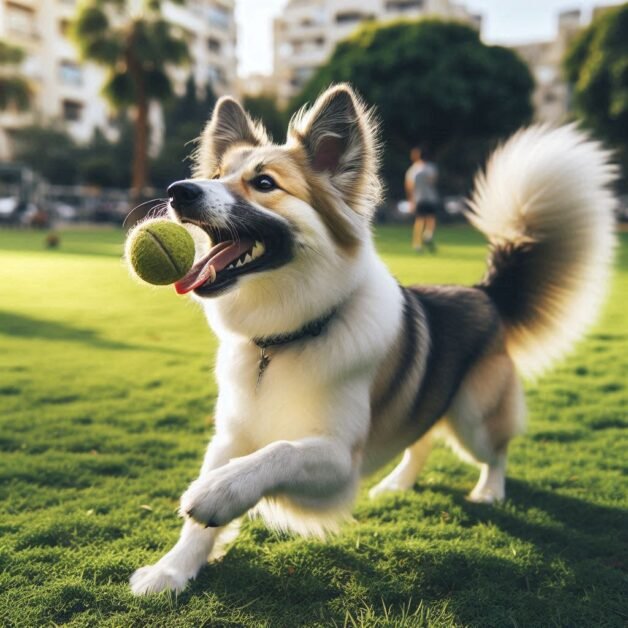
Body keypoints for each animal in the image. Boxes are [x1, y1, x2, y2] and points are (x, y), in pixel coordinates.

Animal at [127, 86, 612, 596]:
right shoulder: (231, 436)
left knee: (494, 450)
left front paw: (216, 494)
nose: (180, 191)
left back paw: (488, 491)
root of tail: (483, 293)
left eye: (263, 183)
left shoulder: (341, 462)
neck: (282, 340)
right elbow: (201, 520)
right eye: (216, 176)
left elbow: (278, 453)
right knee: (421, 437)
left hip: (475, 416)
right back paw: (398, 484)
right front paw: (171, 571)